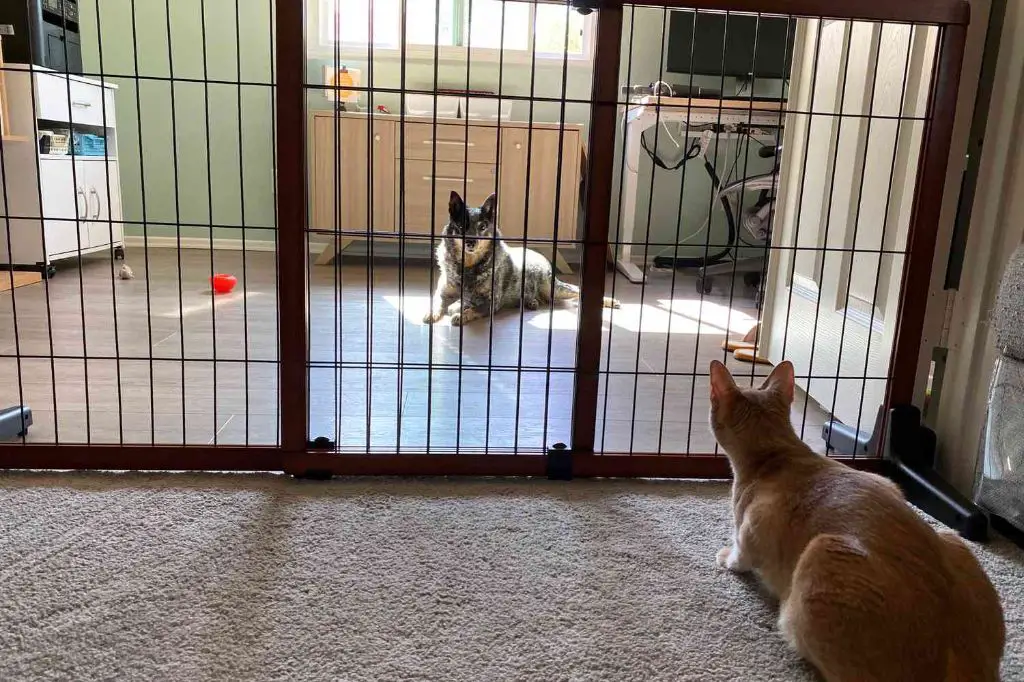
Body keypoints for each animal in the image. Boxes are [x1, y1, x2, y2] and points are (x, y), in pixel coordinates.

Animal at [708, 356, 1003, 679]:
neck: (777, 455)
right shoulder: (886, 483)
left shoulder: (755, 523)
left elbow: (742, 553)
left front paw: (726, 557)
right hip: (951, 539)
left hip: (820, 553)